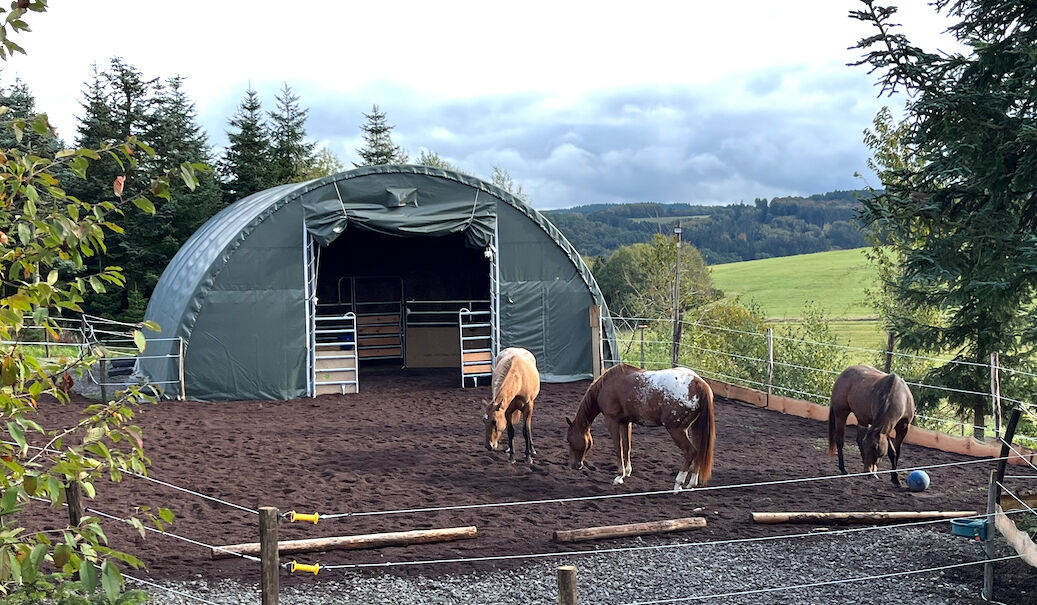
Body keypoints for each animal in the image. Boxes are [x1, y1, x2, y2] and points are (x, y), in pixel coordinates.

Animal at [565, 363, 715, 492]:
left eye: (569, 439)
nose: (574, 465)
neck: (607, 385)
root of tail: (698, 382)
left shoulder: (612, 420)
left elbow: (618, 448)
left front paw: (619, 476)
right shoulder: (625, 422)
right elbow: (627, 447)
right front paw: (627, 472)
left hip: (676, 430)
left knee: (691, 452)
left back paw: (678, 484)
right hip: (695, 428)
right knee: (699, 451)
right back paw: (691, 483)